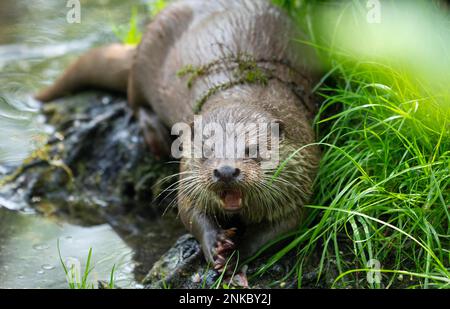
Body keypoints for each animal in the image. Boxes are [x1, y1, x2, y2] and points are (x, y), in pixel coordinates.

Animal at [37, 0, 322, 272]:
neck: (242, 93)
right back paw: (154, 132)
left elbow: (282, 228)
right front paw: (214, 243)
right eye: (207, 152)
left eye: (252, 150)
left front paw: (239, 252)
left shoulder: (300, 182)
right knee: (134, 98)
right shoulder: (187, 177)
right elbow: (188, 211)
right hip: (145, 58)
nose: (226, 171)